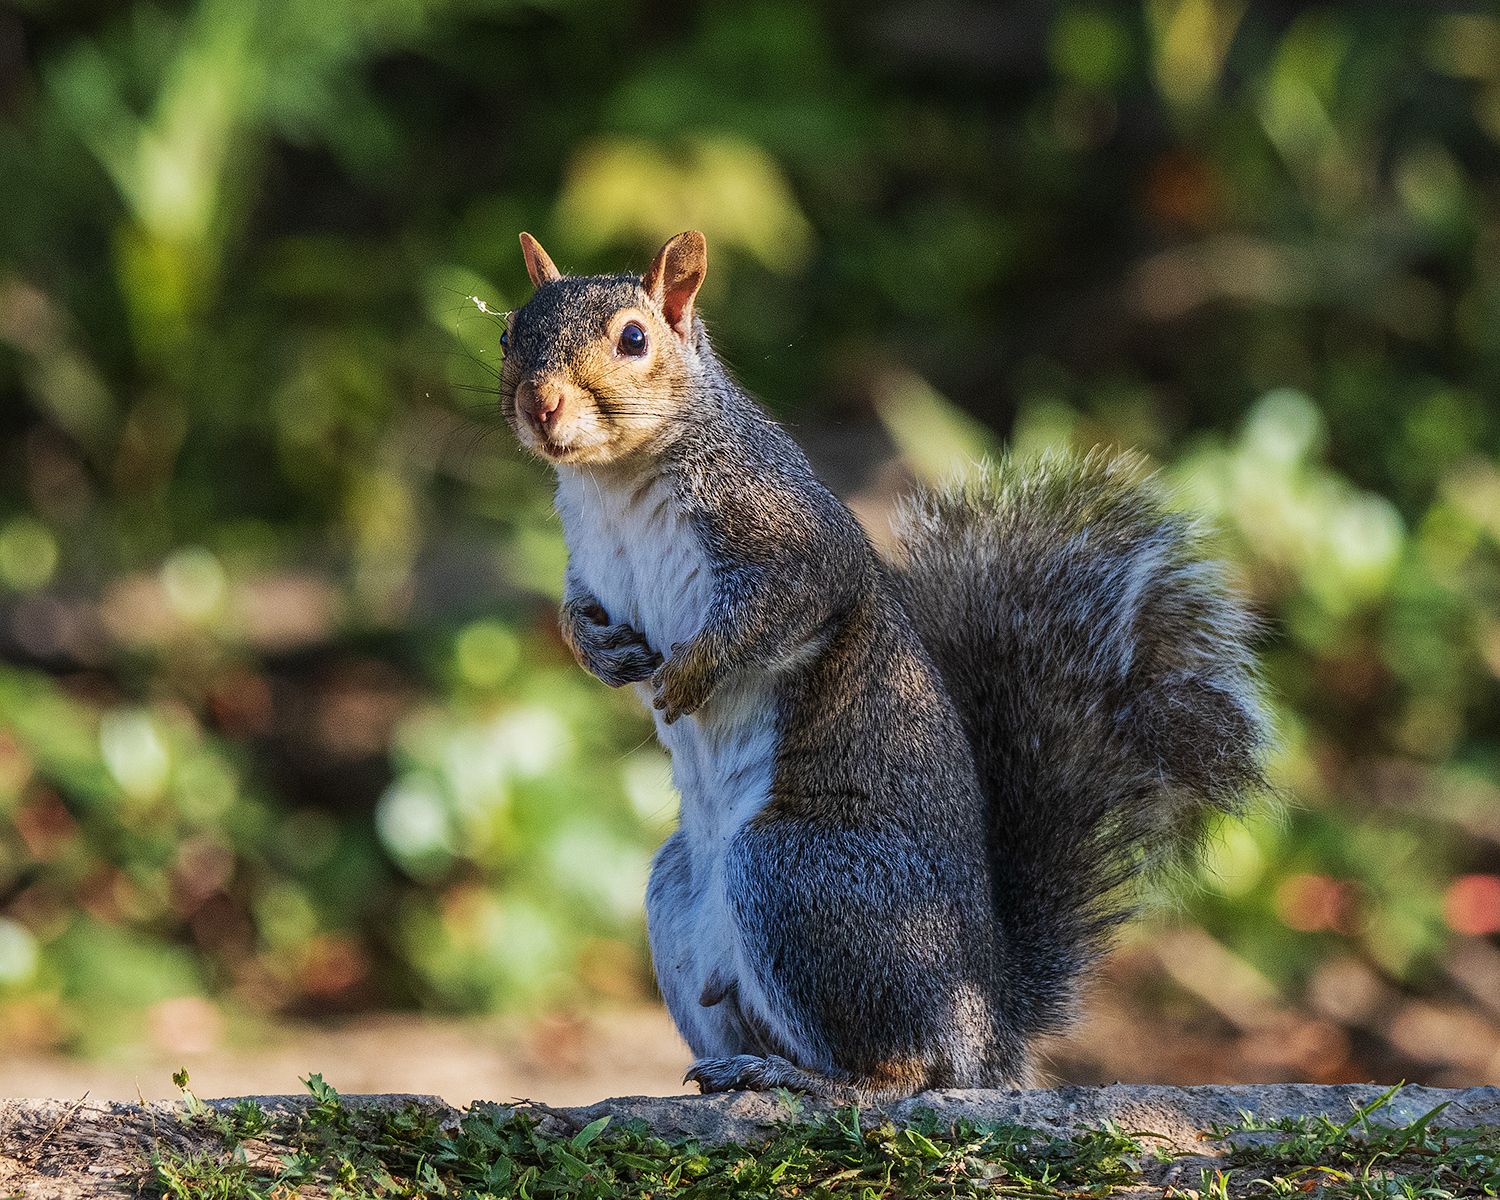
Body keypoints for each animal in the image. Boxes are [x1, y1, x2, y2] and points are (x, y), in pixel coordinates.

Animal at [501, 229, 1266, 1104]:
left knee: (905, 1069)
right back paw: (743, 1068)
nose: (539, 404)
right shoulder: (589, 566)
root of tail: (986, 1027)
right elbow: (575, 610)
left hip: (799, 874)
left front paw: (687, 679)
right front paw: (600, 655)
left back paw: (816, 1082)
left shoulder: (791, 539)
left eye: (633, 338)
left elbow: (775, 614)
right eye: (509, 332)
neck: (617, 483)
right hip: (679, 894)